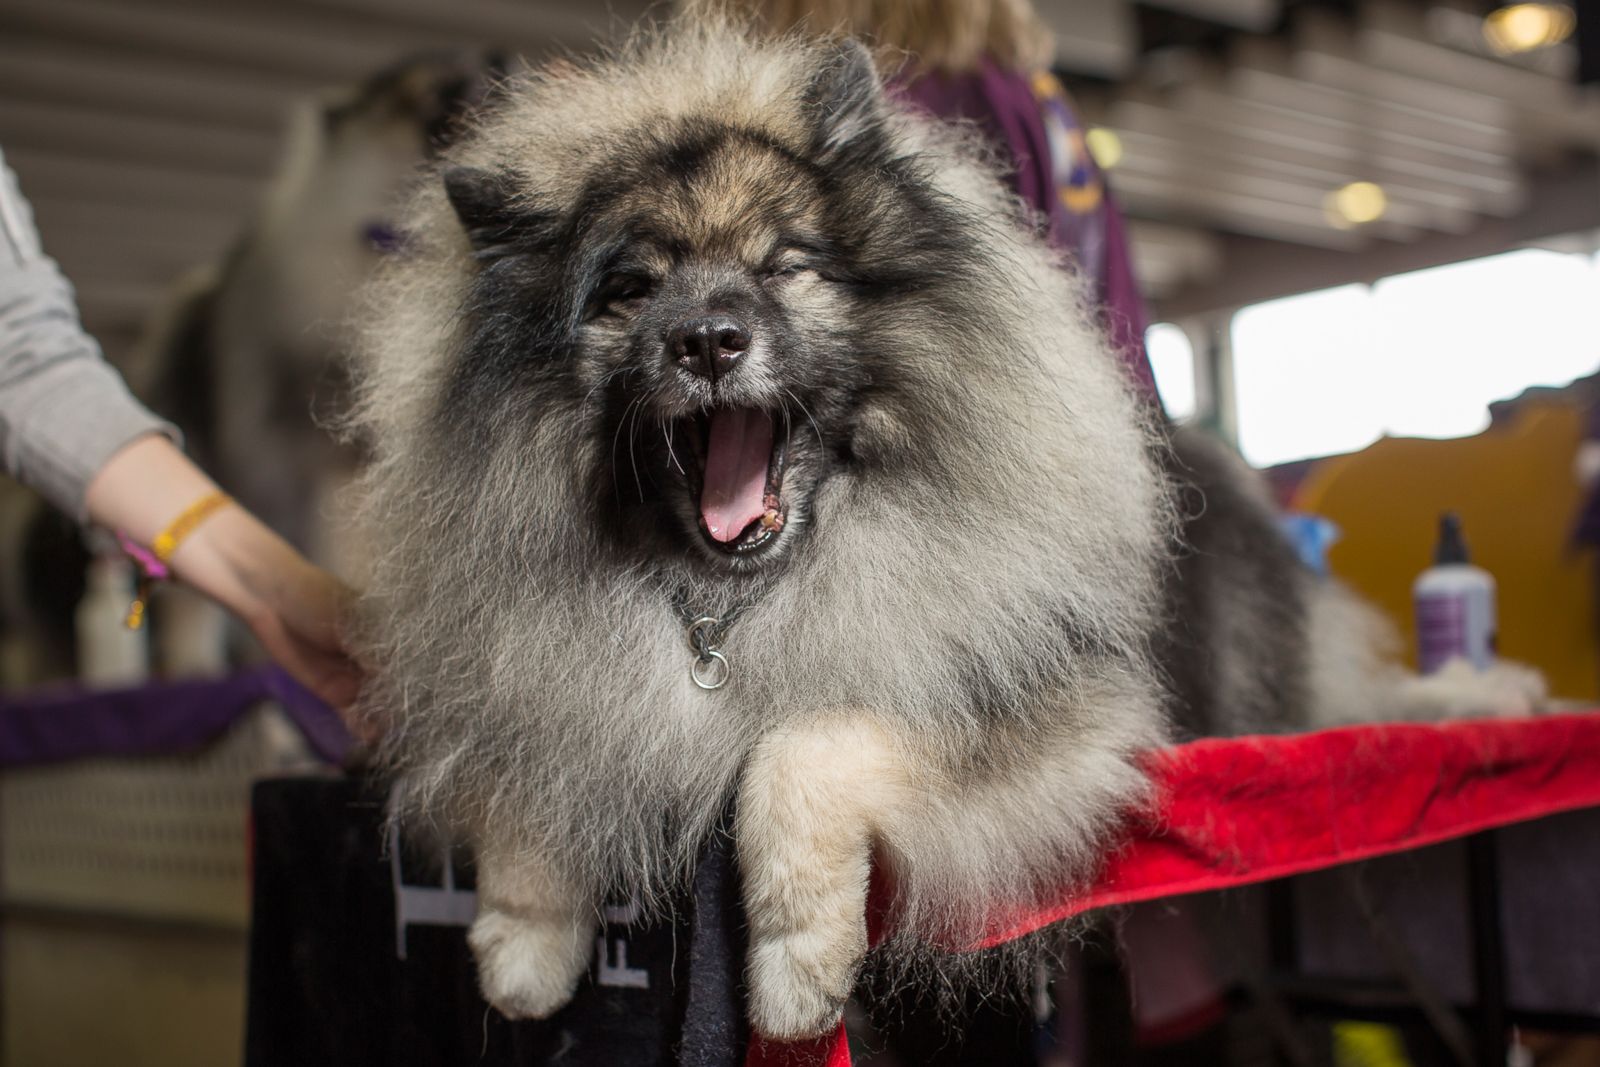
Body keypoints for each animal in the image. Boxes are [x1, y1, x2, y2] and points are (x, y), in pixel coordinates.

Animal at [347, 22, 1536, 1043]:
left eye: (785, 266)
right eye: (632, 289)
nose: (708, 339)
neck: (726, 604)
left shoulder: (1030, 720)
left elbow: (799, 747)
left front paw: (796, 970)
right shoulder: (546, 685)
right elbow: (527, 794)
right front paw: (518, 950)